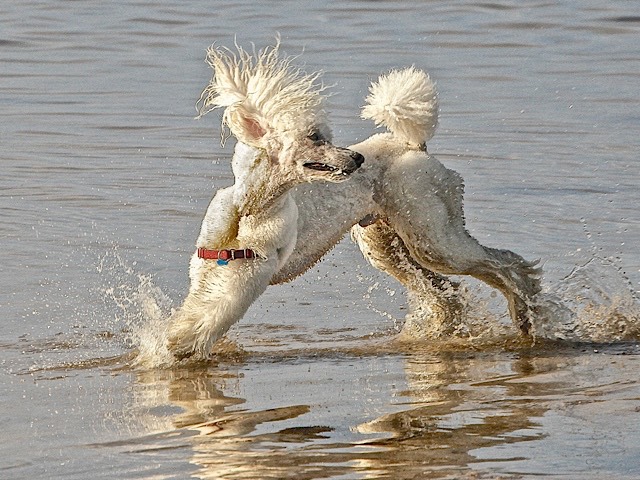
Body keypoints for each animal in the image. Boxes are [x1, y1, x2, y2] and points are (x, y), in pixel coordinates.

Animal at [168, 45, 362, 360]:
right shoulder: (206, 265)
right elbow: (198, 304)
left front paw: (178, 343)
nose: (358, 158)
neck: (252, 209)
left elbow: (213, 314)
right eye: (315, 137)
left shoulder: (247, 278)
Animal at [276, 66, 540, 338]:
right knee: (449, 293)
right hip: (389, 246)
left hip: (434, 240)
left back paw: (527, 318)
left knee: (504, 264)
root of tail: (412, 146)